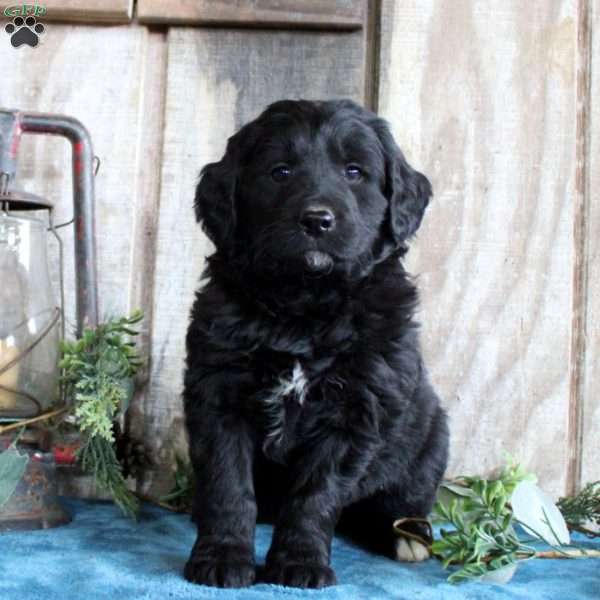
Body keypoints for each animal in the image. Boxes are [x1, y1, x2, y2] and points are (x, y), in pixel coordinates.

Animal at [185, 101, 448, 588]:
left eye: (354, 172)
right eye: (280, 172)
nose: (317, 219)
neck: (305, 307)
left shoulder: (357, 410)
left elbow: (315, 495)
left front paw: (300, 563)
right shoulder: (219, 393)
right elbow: (228, 484)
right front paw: (222, 556)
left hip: (431, 444)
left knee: (397, 501)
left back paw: (405, 537)